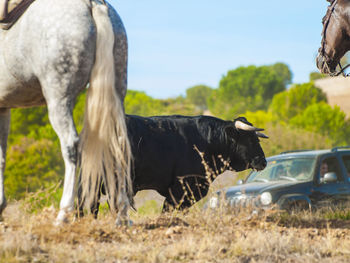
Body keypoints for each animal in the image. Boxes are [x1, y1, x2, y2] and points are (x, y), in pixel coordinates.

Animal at [0, 0, 133, 227]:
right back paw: (122, 215)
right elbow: (2, 157)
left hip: (59, 99)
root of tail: (93, 4)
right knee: (120, 145)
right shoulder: (4, 107)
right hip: (117, 92)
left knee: (71, 145)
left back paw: (63, 214)